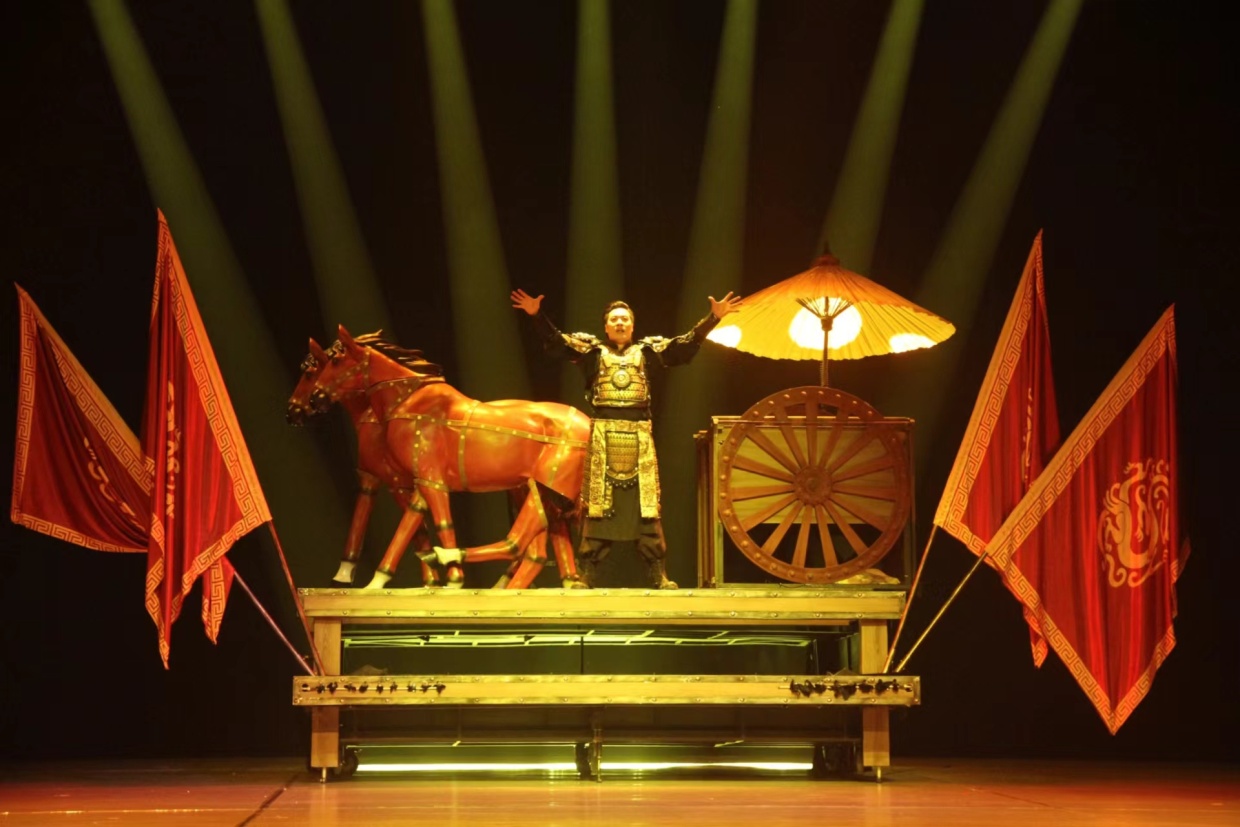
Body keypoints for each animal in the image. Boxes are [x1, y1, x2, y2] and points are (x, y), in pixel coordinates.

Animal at [287, 334, 441, 587]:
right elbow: (361, 520)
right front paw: (343, 574)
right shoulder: (372, 478)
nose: (292, 412)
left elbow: (419, 532)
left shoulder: (398, 483)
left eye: (309, 373)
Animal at [306, 325, 591, 590]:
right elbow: (410, 523)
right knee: (535, 552)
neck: (408, 403)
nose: (313, 399)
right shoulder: (421, 481)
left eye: (335, 361)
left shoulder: (429, 480)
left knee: (519, 543)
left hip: (546, 485)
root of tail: (587, 422)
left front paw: (453, 580)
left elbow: (443, 524)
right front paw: (377, 580)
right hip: (541, 491)